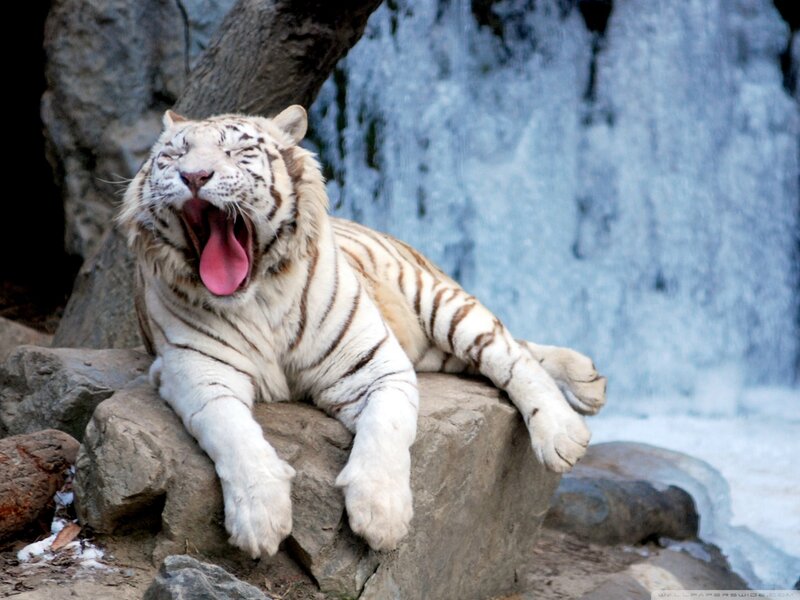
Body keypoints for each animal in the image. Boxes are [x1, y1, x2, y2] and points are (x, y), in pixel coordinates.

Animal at [117, 105, 607, 558]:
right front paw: (260, 519)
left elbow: (387, 428)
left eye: (236, 151)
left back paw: (565, 429)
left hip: (437, 302)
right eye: (173, 155)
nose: (194, 175)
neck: (257, 297)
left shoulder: (375, 364)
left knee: (508, 351)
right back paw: (588, 379)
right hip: (433, 350)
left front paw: (381, 515)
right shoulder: (197, 373)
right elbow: (233, 433)